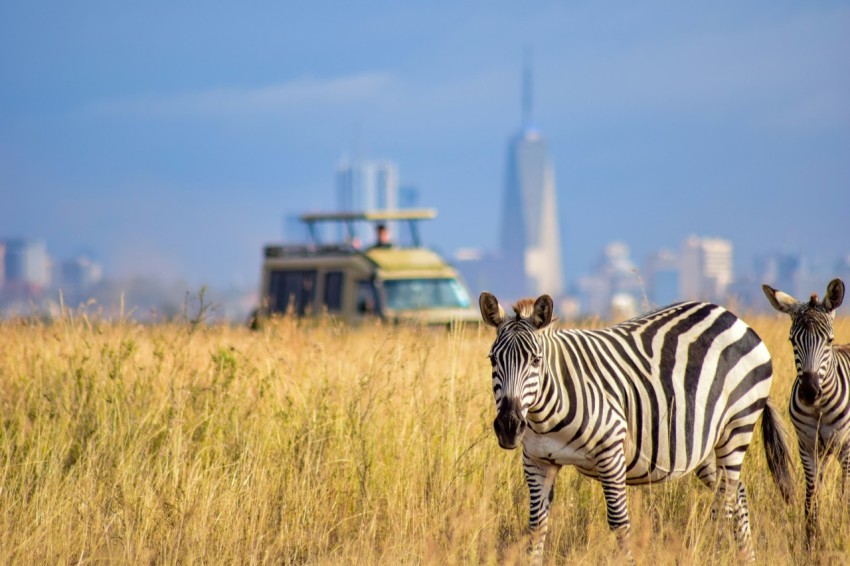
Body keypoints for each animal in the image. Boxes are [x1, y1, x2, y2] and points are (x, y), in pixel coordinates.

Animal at [479, 292, 794, 563]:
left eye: (535, 360)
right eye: (493, 360)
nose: (509, 426)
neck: (545, 414)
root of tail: (732, 316)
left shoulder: (611, 452)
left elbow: (619, 525)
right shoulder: (537, 461)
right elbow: (536, 527)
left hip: (737, 425)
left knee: (725, 501)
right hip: (702, 443)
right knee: (737, 493)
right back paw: (746, 558)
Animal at [763, 278, 850, 546]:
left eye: (829, 340)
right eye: (792, 341)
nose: (810, 391)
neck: (819, 408)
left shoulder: (847, 447)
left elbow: (845, 494)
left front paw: (842, 531)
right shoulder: (807, 446)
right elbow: (812, 496)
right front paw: (812, 540)